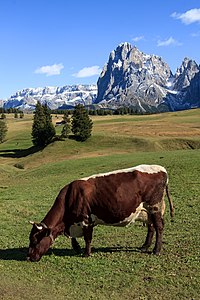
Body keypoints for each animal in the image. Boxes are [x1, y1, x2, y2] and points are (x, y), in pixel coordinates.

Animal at [26, 165, 173, 262]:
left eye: (34, 240)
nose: (28, 257)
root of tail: (161, 169)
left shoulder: (86, 221)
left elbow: (88, 238)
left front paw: (86, 253)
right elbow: (74, 239)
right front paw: (77, 248)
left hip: (154, 207)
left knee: (159, 227)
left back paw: (156, 250)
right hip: (147, 211)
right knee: (151, 226)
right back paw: (145, 246)